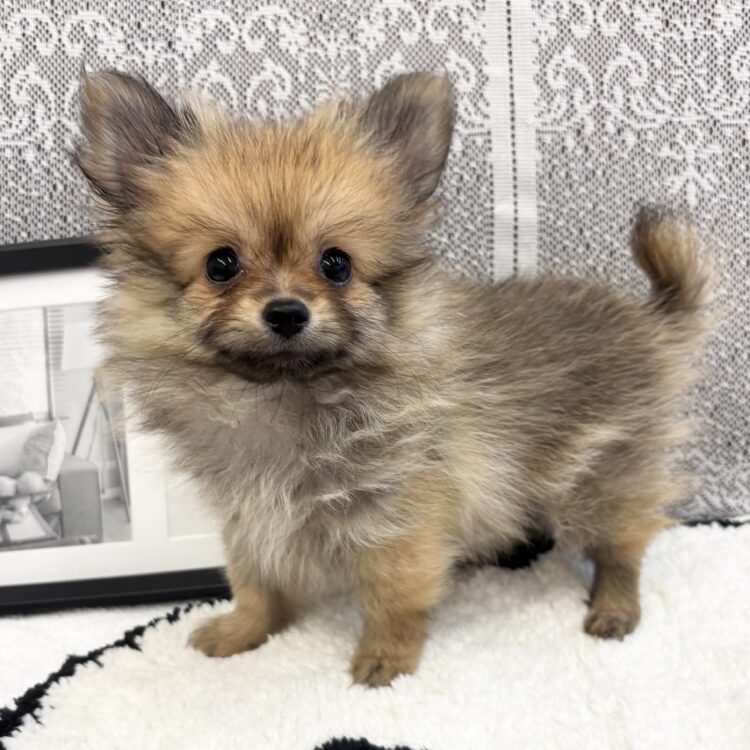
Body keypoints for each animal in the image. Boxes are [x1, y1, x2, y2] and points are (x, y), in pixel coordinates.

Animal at [75, 70, 712, 687]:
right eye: (220, 264)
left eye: (336, 264)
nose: (287, 312)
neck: (284, 397)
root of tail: (650, 322)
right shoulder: (250, 516)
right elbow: (256, 582)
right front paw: (243, 631)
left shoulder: (396, 516)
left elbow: (392, 597)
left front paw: (386, 658)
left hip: (603, 477)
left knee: (625, 546)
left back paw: (614, 608)